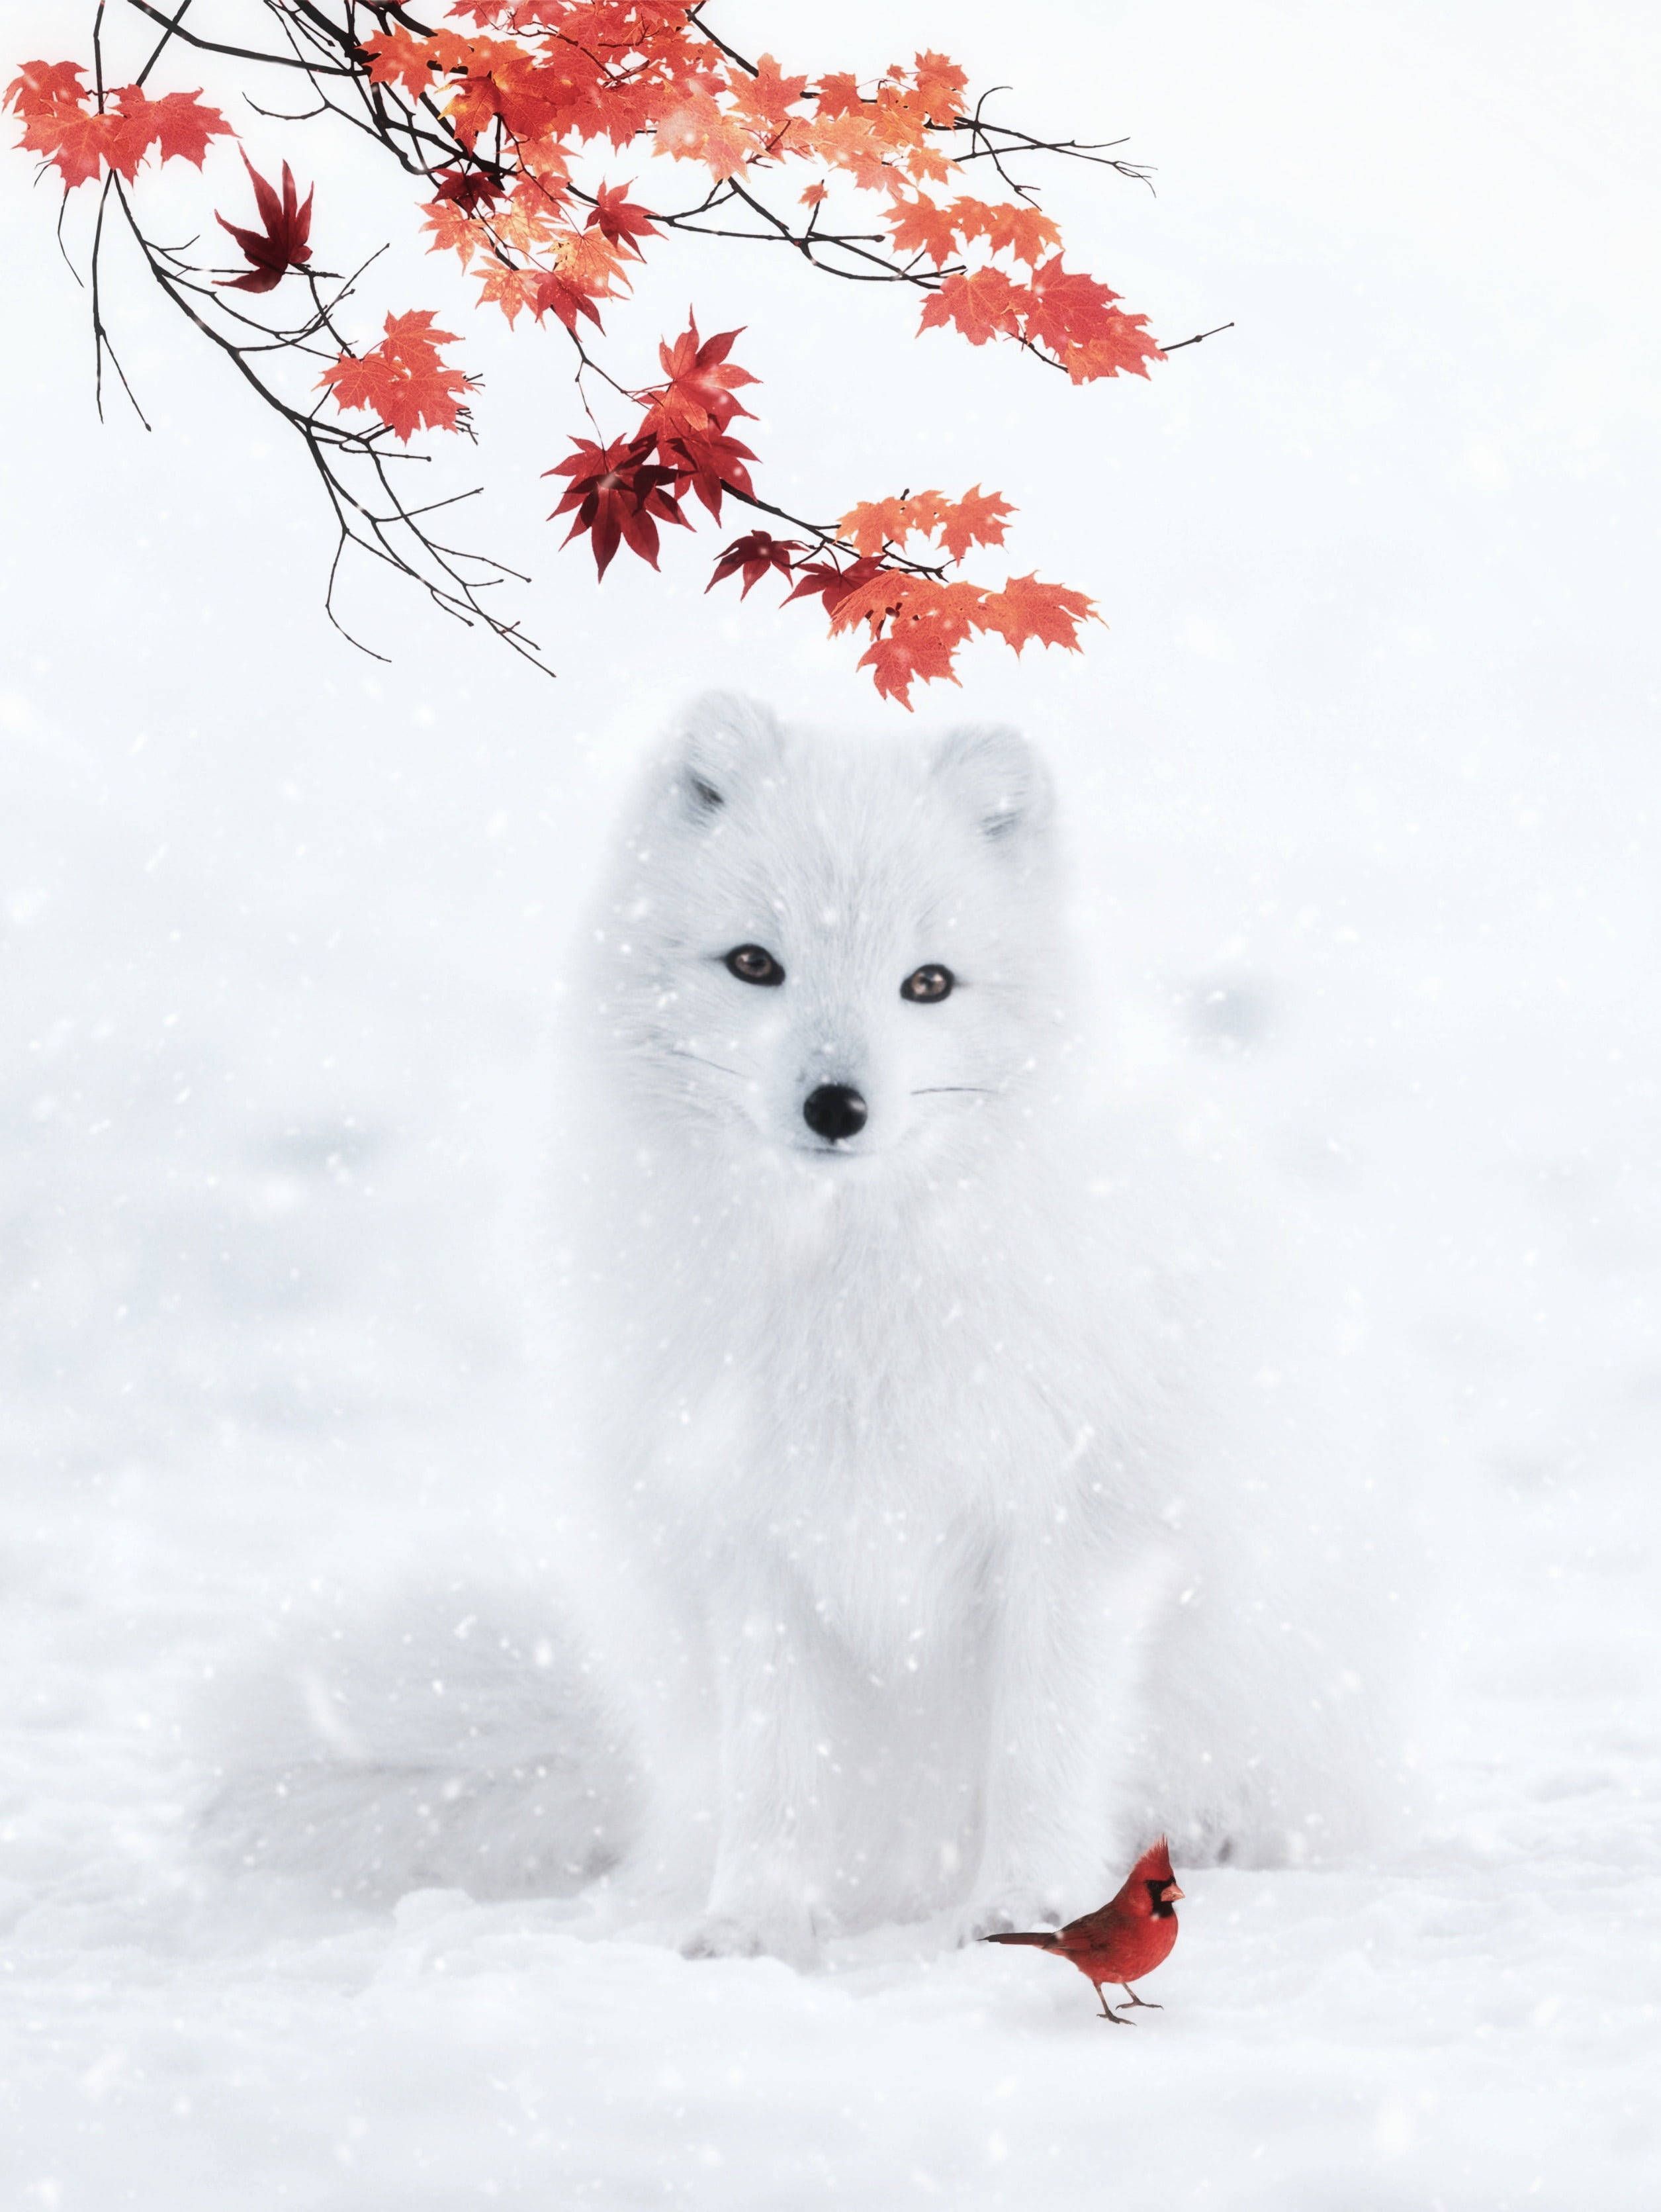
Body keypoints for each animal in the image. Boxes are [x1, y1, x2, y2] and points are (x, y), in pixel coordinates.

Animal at [208, 694, 1406, 1973]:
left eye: (928, 982)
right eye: (754, 964)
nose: (836, 1105)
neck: (850, 1287)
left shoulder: (1078, 1527)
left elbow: (1040, 1748)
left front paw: (1027, 1909)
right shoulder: (751, 1533)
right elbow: (781, 1766)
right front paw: (757, 1924)